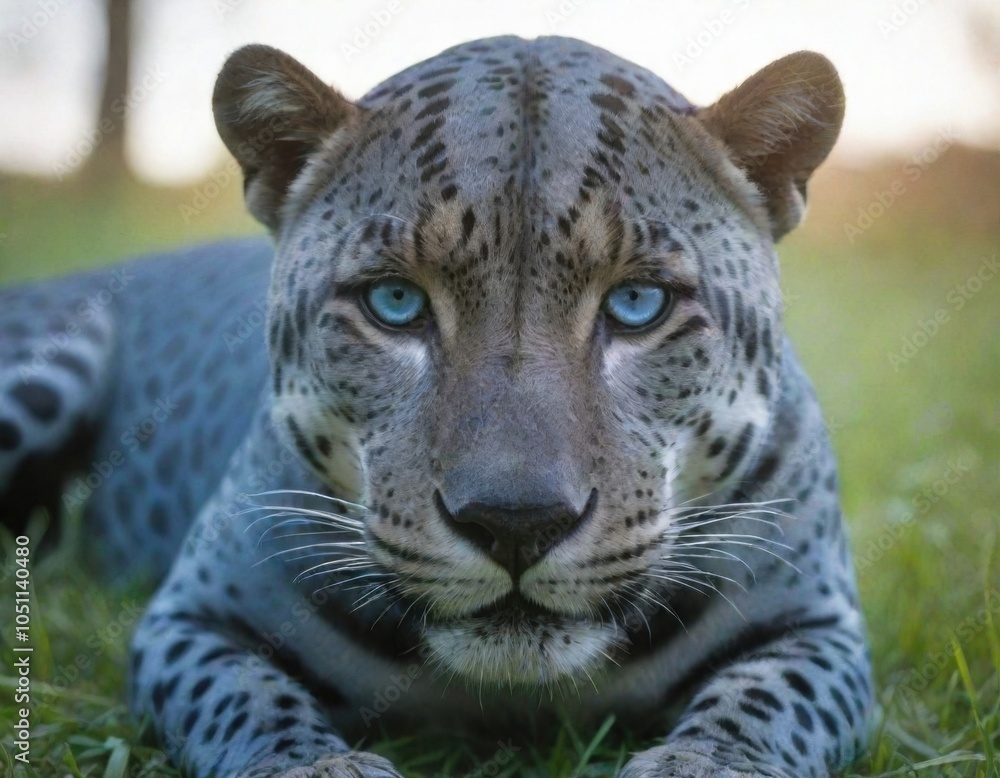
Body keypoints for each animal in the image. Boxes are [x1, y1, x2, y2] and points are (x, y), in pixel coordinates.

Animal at [0, 35, 873, 777]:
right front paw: (319, 766)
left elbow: (763, 703)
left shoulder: (818, 627)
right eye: (394, 303)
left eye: (638, 304)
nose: (515, 523)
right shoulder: (192, 619)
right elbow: (247, 697)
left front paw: (702, 764)